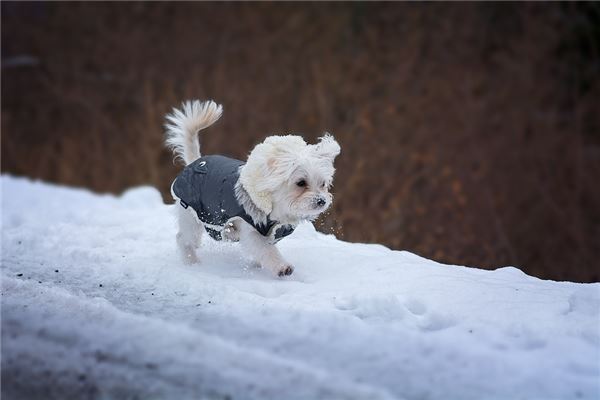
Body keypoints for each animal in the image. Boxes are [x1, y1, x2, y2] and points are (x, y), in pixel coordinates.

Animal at [166, 99, 340, 278]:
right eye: (301, 183)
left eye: (323, 184)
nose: (321, 201)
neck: (276, 209)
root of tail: (195, 161)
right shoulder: (251, 230)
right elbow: (266, 250)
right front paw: (282, 267)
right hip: (191, 215)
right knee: (183, 239)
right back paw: (191, 261)